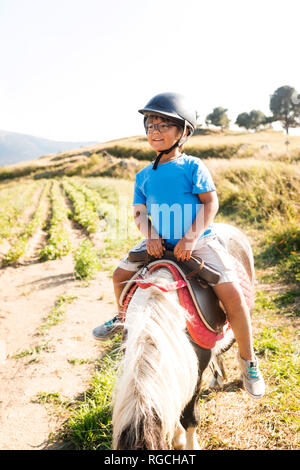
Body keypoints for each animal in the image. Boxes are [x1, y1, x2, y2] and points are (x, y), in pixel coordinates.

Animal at [111, 224, 254, 452]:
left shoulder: (195, 373)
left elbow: (189, 417)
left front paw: (189, 445)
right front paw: (177, 438)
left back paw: (246, 378)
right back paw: (217, 379)